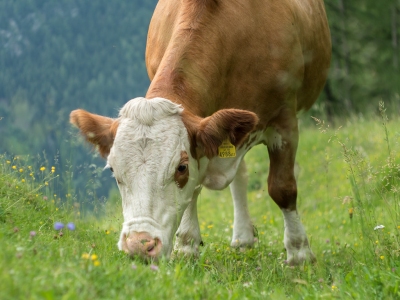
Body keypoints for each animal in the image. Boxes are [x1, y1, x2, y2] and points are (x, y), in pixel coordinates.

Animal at [69, 0, 332, 264]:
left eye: (181, 168)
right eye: (113, 170)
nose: (140, 246)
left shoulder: (284, 119)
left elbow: (282, 187)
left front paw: (299, 252)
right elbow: (194, 191)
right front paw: (186, 245)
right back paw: (242, 237)